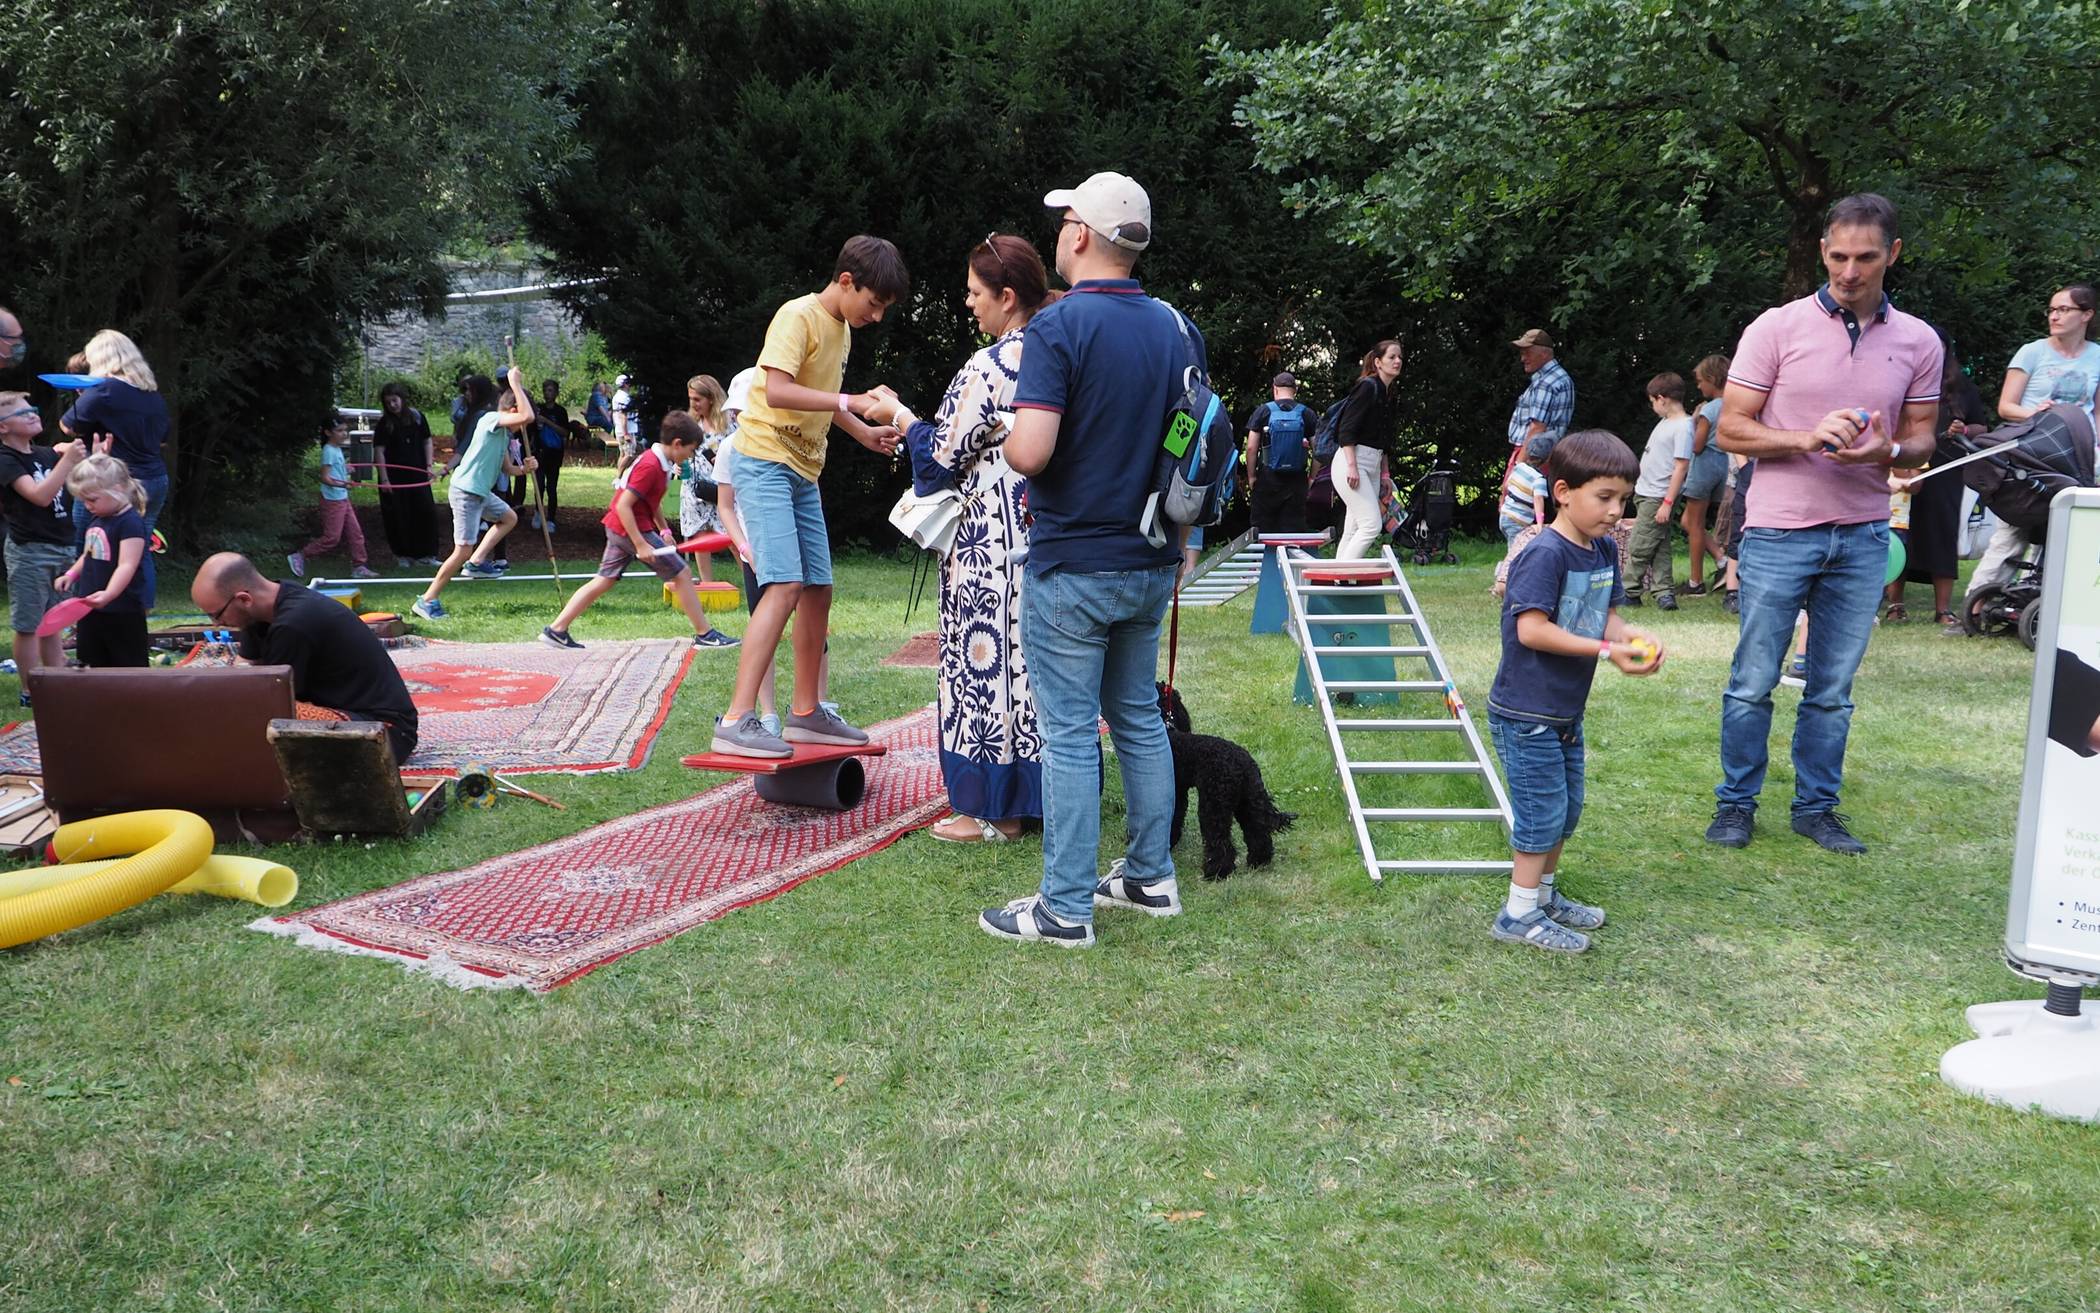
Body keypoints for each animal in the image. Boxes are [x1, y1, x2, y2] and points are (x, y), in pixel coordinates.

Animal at [1159, 680, 1285, 873]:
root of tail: (1245, 764)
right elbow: (1176, 816)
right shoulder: (1179, 792)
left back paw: (1217, 871)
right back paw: (1258, 861)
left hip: (1214, 805)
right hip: (1247, 801)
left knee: (1220, 841)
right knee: (1257, 832)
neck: (1169, 730)